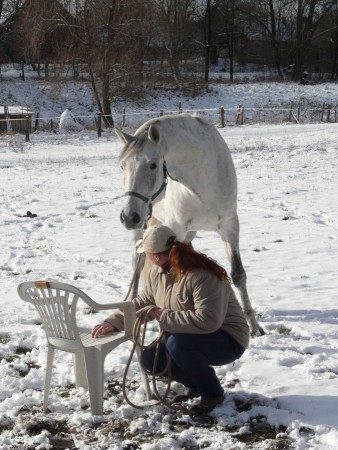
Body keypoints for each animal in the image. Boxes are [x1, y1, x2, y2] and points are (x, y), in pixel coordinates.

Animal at [115, 114, 262, 336]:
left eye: (153, 165)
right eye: (123, 166)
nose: (129, 217)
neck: (201, 184)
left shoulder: (229, 227)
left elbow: (238, 274)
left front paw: (254, 326)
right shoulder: (175, 231)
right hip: (143, 231)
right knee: (137, 266)